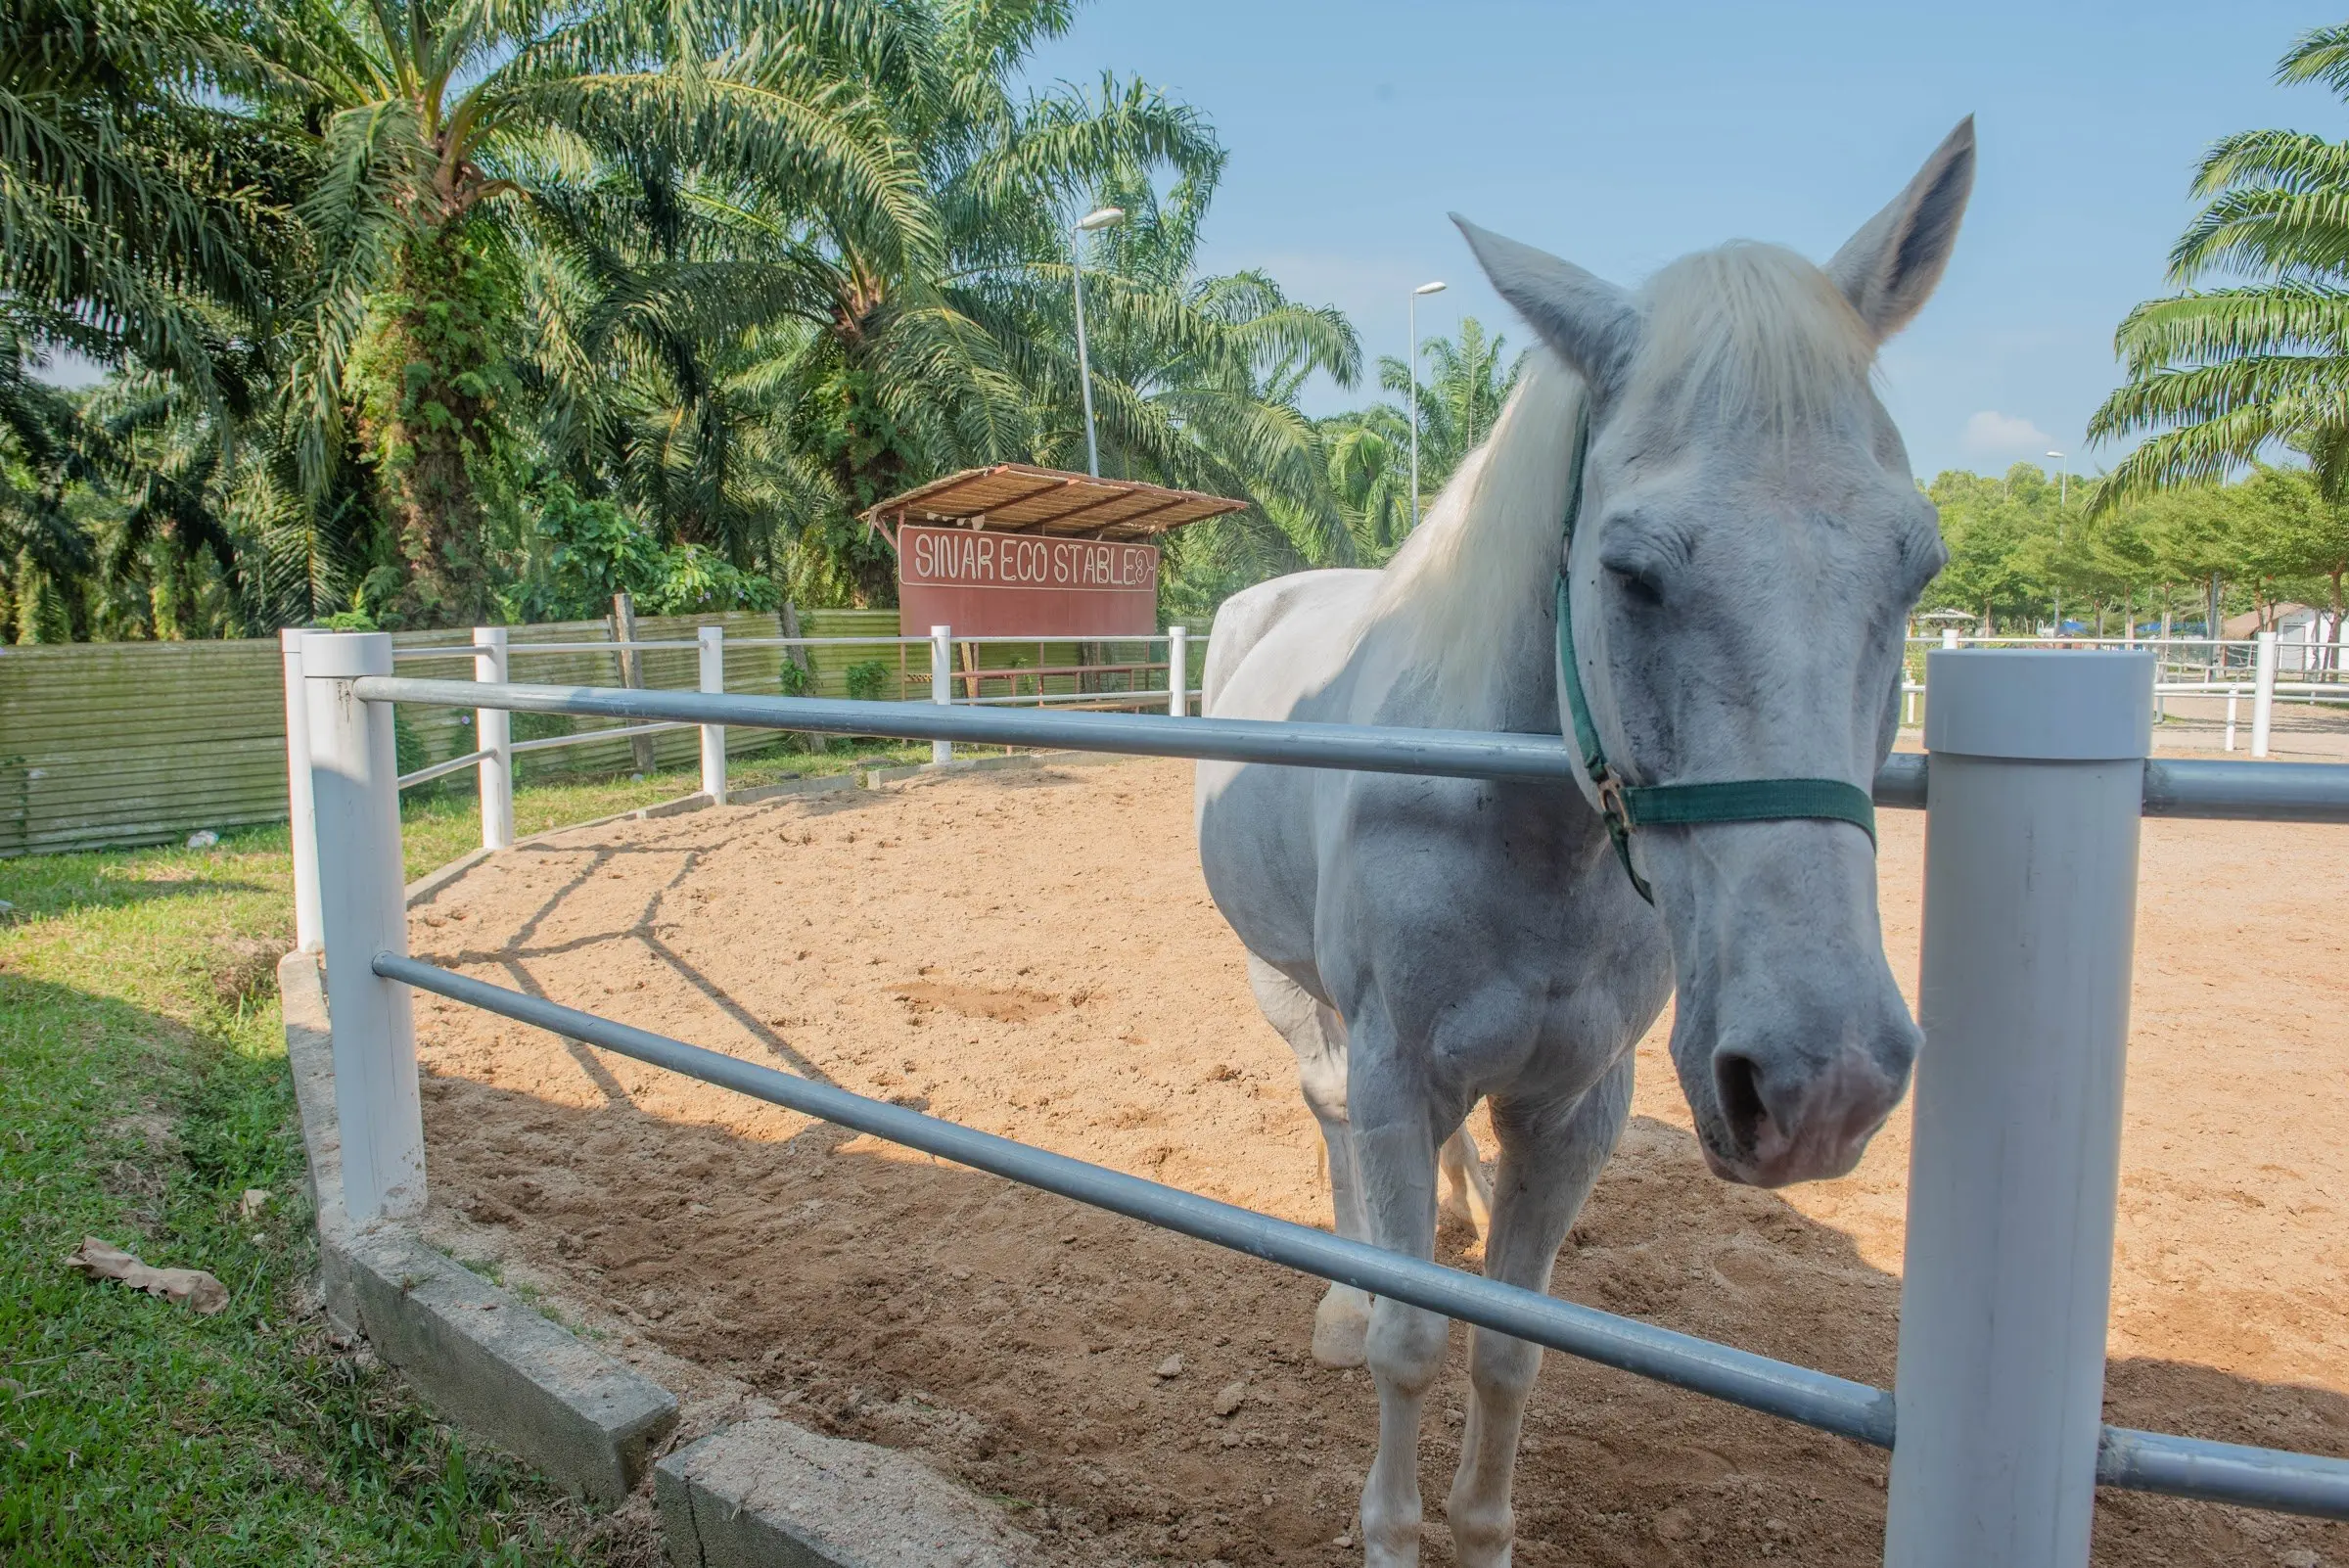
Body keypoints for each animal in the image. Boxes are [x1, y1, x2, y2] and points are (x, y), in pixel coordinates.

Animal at [1193, 120, 1974, 1566]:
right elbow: (1411, 1342)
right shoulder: (1393, 1071)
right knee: (1326, 1122)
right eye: (1631, 571)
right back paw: (1341, 1292)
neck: (1527, 840)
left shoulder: (1574, 1107)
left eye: (1918, 565)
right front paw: (1392, 1526)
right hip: (1293, 993)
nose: (1821, 1082)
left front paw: (1484, 1529)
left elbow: (1510, 1350)